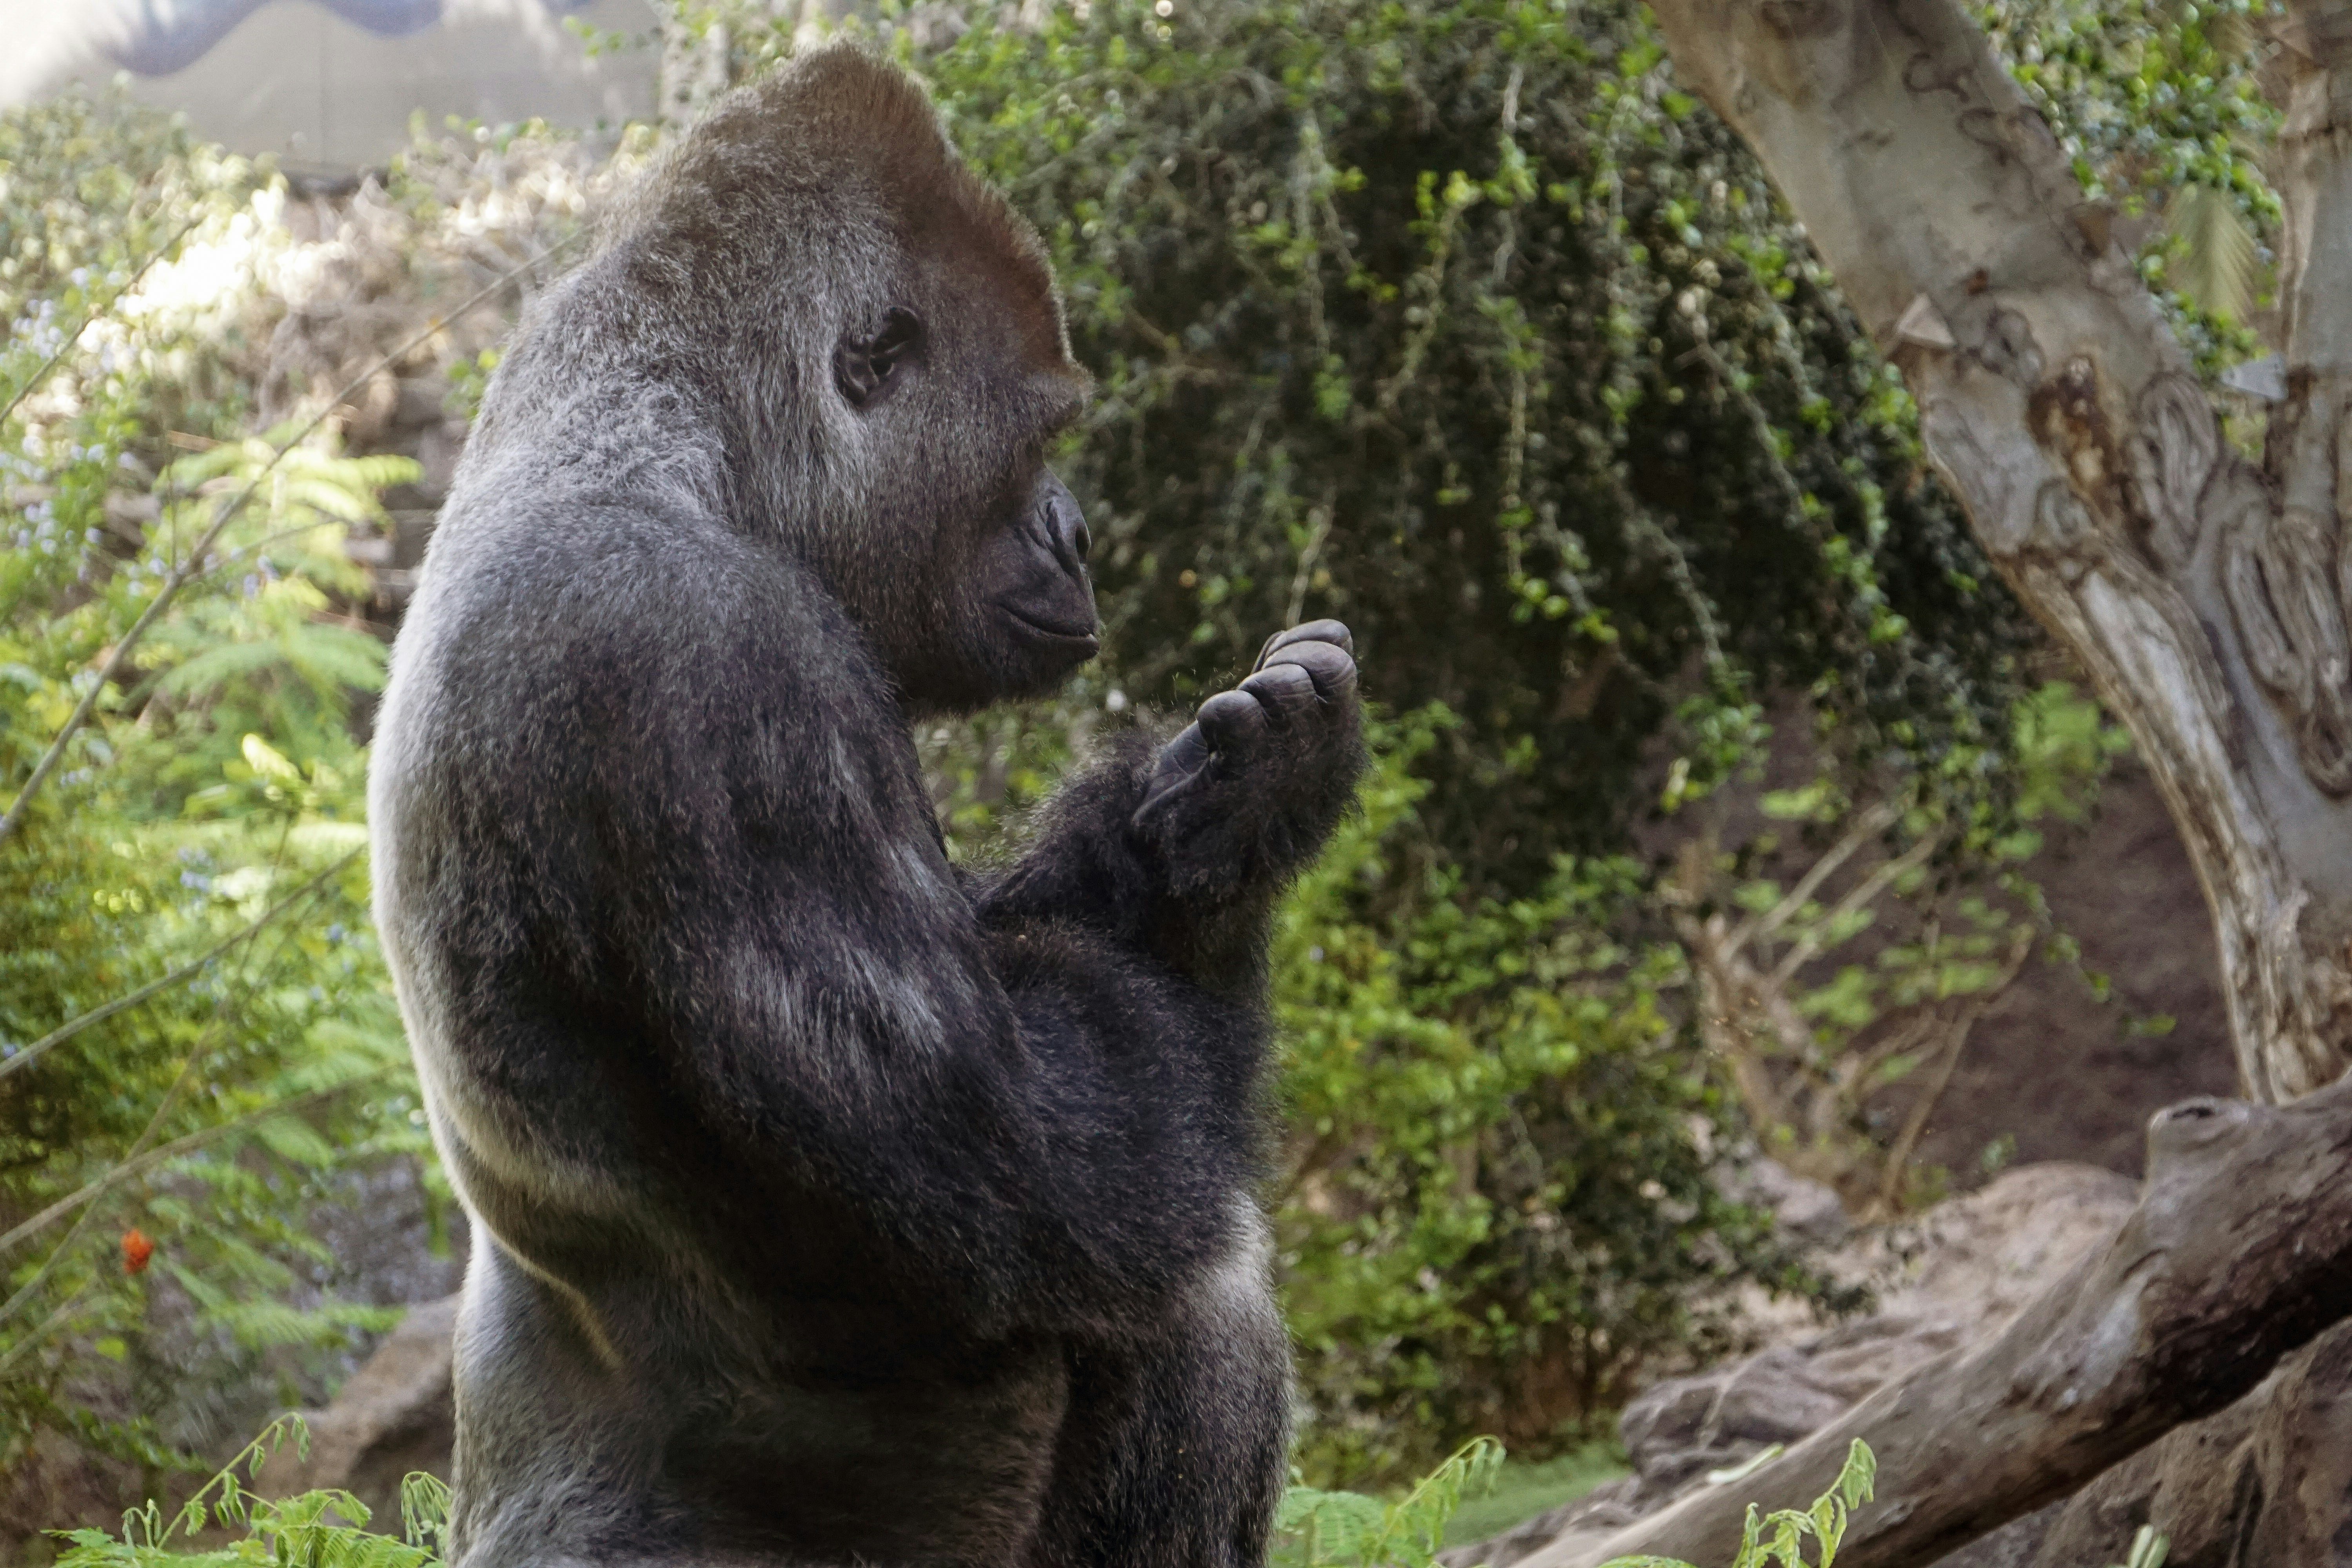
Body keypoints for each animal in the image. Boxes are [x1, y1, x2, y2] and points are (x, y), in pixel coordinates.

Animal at [366, 44, 1365, 1568]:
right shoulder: (708, 666)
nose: (1081, 535)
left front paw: (1153, 817)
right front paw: (1234, 836)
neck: (670, 434)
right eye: (1041, 436)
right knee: (1194, 1285)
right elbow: (1040, 1172)